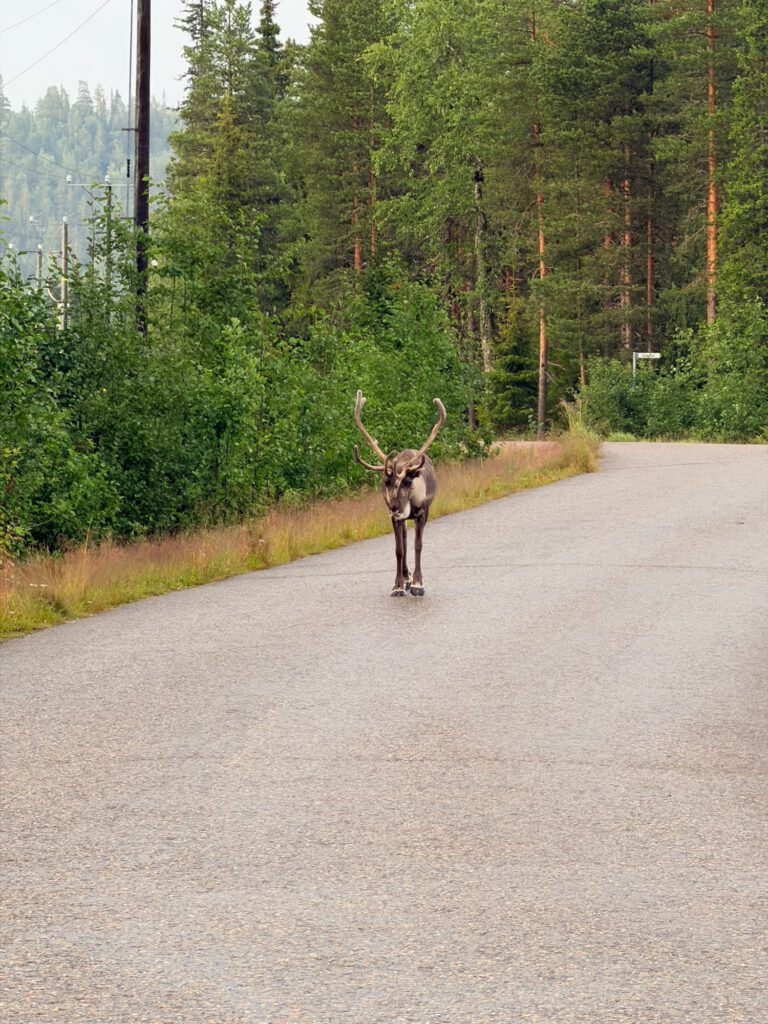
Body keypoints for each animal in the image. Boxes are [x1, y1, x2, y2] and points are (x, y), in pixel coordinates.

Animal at [353, 389, 446, 597]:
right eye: (386, 482)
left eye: (408, 482)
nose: (395, 507)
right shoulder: (394, 518)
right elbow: (399, 549)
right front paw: (398, 585)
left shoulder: (422, 513)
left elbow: (418, 545)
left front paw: (418, 584)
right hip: (401, 519)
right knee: (403, 539)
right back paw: (405, 577)